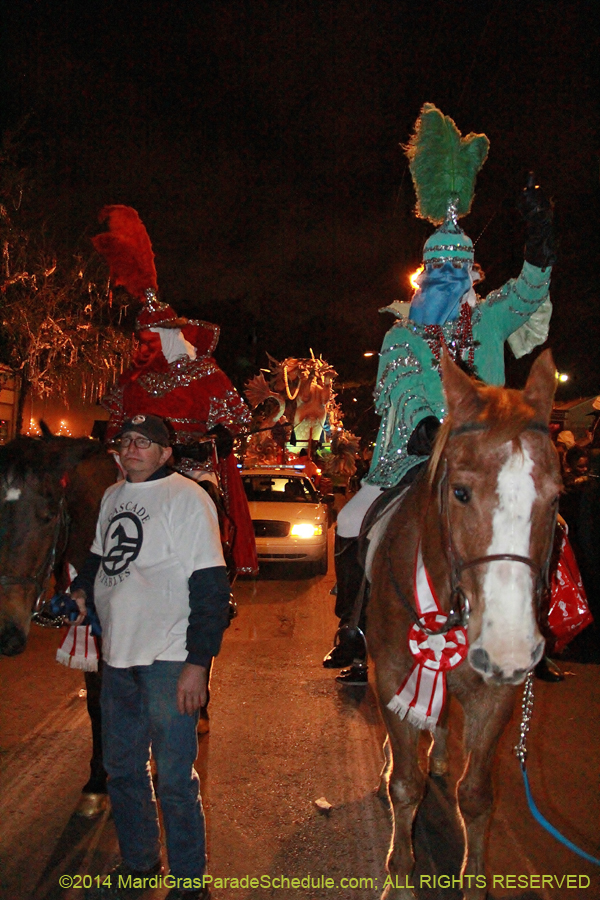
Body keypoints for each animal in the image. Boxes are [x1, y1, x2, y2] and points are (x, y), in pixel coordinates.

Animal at [370, 352, 564, 900]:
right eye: (460, 492)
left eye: (555, 499)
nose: (509, 649)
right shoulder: (391, 674)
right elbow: (405, 786)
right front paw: (400, 877)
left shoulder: (493, 694)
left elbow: (476, 795)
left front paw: (473, 882)